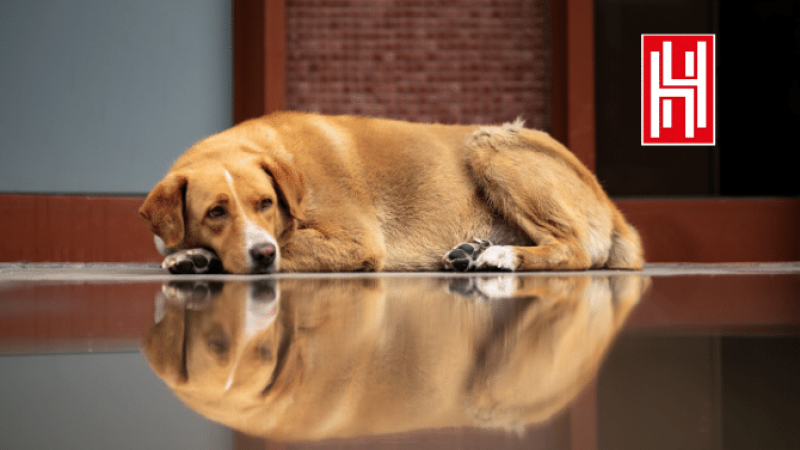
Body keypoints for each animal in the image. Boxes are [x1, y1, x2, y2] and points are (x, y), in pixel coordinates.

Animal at [139, 112, 644, 274]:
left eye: (265, 203)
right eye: (215, 212)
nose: (261, 256)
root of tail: (614, 209)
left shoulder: (353, 240)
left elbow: (288, 243)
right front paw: (191, 255)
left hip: (491, 144)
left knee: (574, 249)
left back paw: (502, 256)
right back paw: (474, 249)